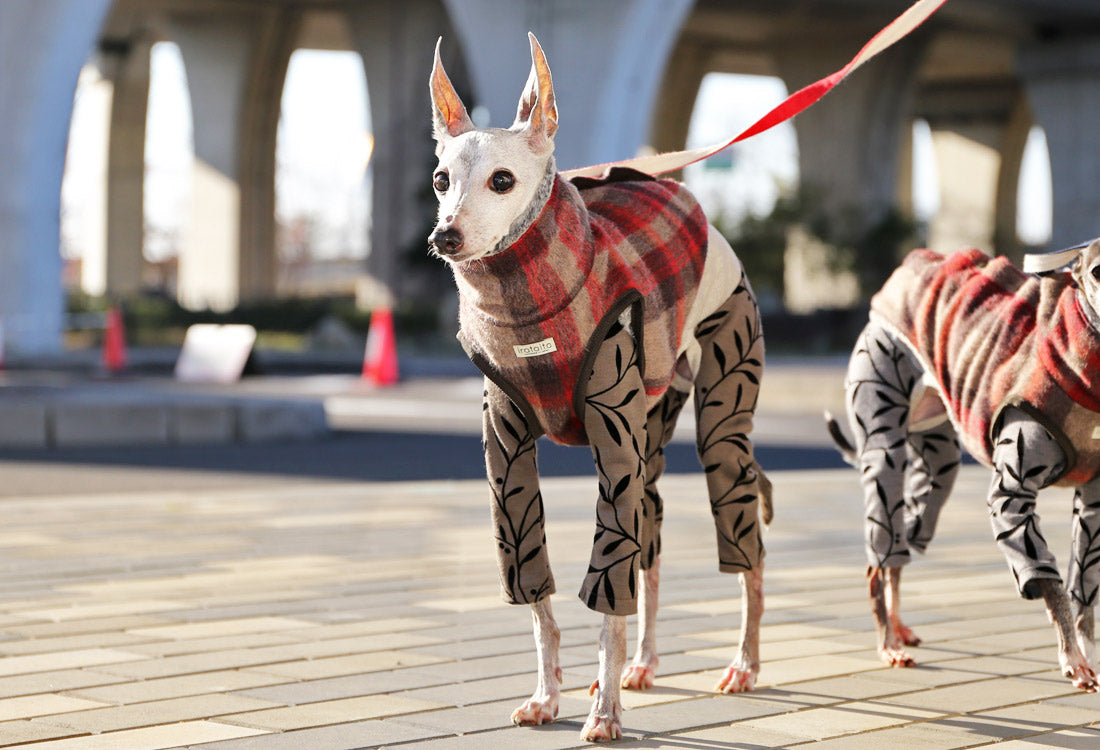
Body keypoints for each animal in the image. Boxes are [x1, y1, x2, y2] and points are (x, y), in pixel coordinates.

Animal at [429, 33, 774, 734]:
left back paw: (743, 663)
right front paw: (549, 695)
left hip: (722, 412)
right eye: (441, 179)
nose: (445, 236)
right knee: (653, 543)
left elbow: (609, 592)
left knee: (745, 545)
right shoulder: (507, 455)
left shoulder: (615, 441)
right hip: (652, 427)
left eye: (502, 180)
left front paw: (606, 711)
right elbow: (537, 595)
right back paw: (643, 663)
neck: (530, 307)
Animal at [827, 240, 1100, 690]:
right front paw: (1073, 660)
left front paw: (1087, 652)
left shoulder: (1094, 504)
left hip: (937, 467)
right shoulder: (1011, 494)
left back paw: (898, 627)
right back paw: (888, 644)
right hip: (883, 438)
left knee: (902, 544)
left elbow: (1085, 590)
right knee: (878, 557)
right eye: (1097, 271)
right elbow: (1049, 581)